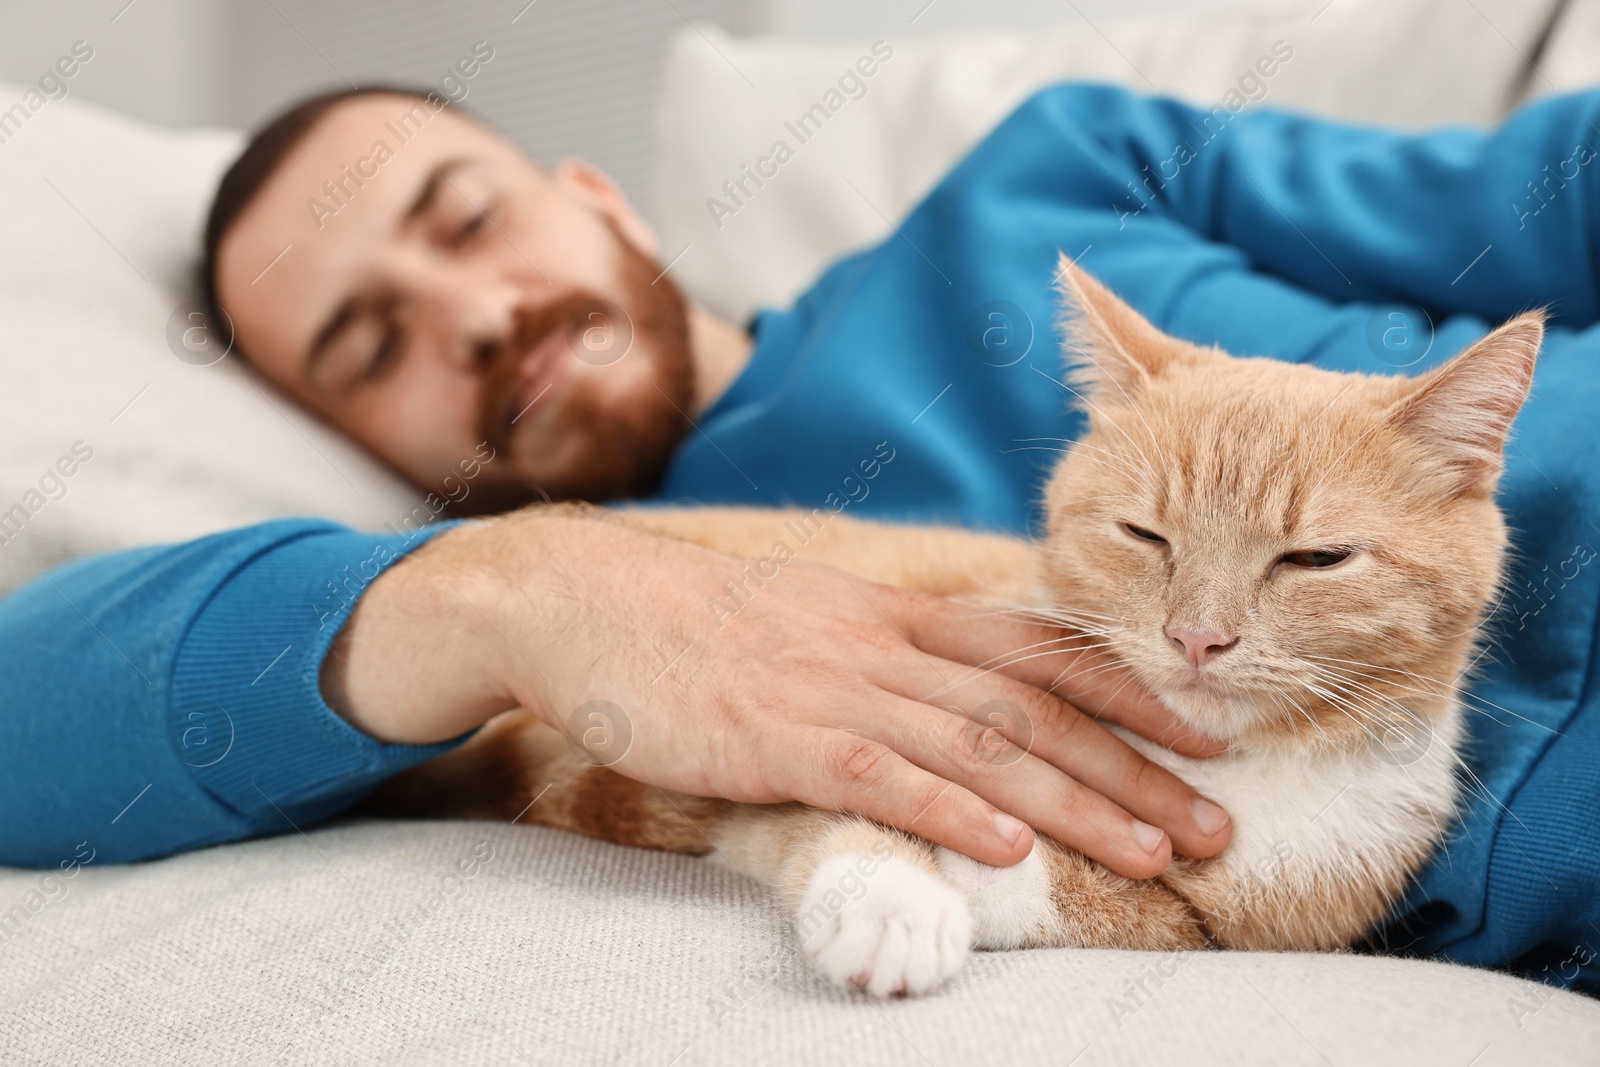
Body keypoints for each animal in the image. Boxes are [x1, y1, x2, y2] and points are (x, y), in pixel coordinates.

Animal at [363, 260, 1536, 1004]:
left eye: (1313, 560)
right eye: (1144, 534)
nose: (1197, 637)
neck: (1221, 765)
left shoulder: (1273, 910)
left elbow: (1129, 903)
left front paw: (981, 879)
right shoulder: (816, 751)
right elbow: (832, 816)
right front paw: (894, 900)